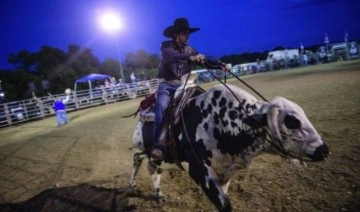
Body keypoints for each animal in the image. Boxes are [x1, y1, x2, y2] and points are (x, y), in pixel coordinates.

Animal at [129, 83, 330, 211]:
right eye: (292, 121)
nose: (324, 150)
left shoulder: (226, 172)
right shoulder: (199, 170)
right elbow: (225, 204)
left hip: (156, 158)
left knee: (154, 170)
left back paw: (158, 195)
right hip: (140, 149)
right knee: (137, 163)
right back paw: (132, 187)